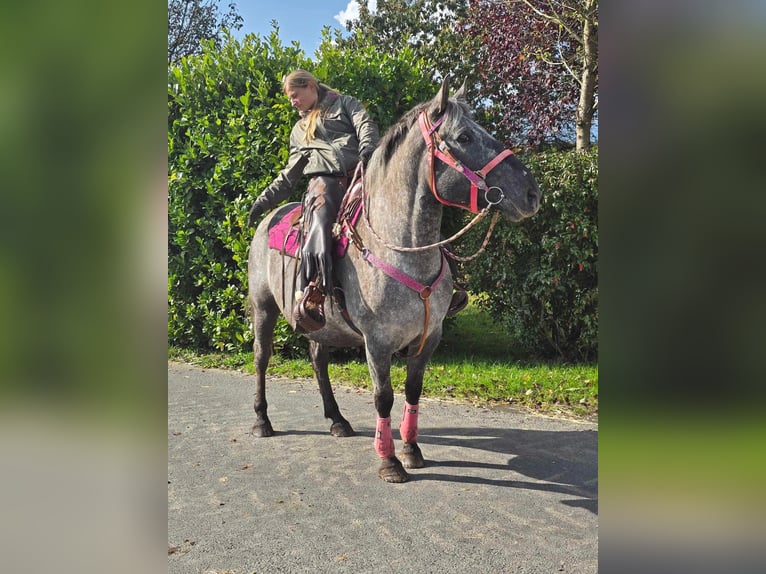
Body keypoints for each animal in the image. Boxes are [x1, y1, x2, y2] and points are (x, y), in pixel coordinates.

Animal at [249, 79, 544, 484]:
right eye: (464, 136)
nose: (531, 193)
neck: (401, 248)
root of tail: (271, 218)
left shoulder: (429, 337)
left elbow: (413, 390)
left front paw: (411, 449)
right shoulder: (378, 341)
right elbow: (383, 397)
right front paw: (389, 460)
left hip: (321, 323)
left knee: (318, 360)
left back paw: (337, 420)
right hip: (263, 308)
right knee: (261, 358)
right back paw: (262, 420)